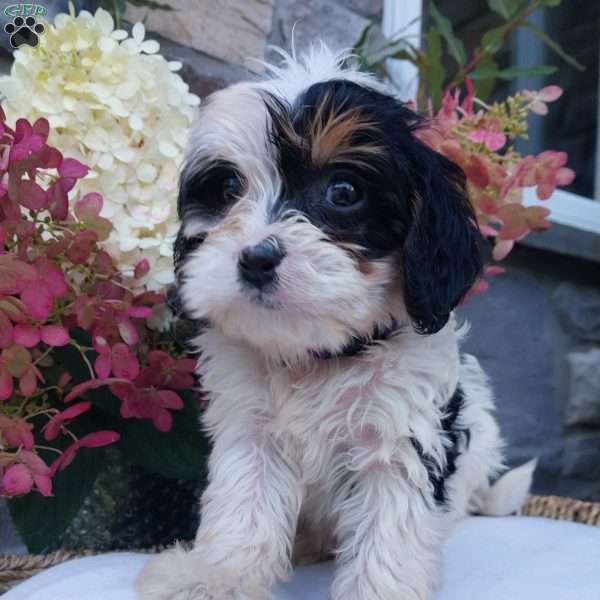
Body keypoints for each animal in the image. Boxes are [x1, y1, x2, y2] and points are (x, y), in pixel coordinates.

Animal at [137, 43, 536, 600]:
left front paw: (380, 591)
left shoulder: (403, 435)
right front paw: (216, 577)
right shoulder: (250, 431)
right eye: (228, 187)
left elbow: (391, 531)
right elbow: (244, 507)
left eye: (343, 192)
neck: (320, 356)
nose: (255, 259)